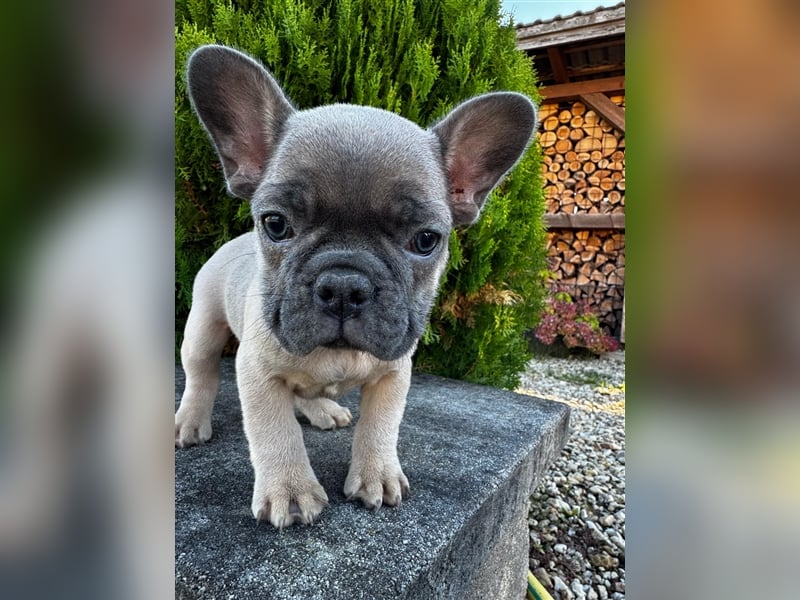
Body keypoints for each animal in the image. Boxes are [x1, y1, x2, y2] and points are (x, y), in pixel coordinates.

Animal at [176, 44, 536, 528]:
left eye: (426, 240)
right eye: (276, 224)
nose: (345, 285)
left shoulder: (394, 373)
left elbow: (380, 427)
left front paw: (377, 475)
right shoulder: (257, 372)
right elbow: (275, 431)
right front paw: (290, 489)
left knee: (305, 394)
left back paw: (322, 409)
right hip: (203, 326)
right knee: (200, 373)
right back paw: (190, 421)